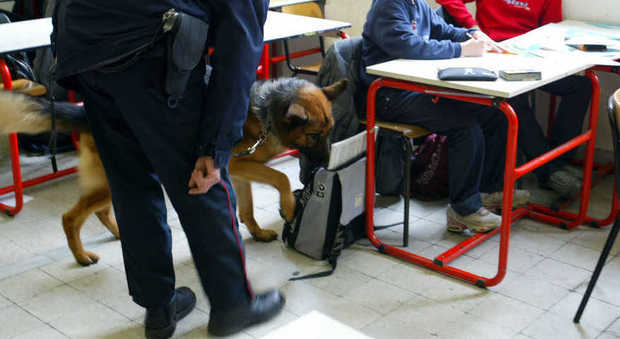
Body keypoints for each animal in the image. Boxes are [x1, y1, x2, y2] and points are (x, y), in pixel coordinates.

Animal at [0, 77, 348, 266]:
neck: (267, 112)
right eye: (314, 135)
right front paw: (288, 207)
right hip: (114, 181)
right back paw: (81, 256)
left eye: (330, 130)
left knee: (99, 211)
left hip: (113, 182)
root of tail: (86, 112)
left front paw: (257, 232)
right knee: (70, 217)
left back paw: (118, 234)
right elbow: (281, 177)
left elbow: (247, 209)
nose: (324, 162)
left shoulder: (239, 173)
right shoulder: (240, 165)